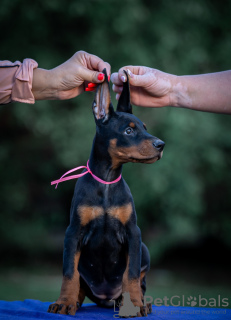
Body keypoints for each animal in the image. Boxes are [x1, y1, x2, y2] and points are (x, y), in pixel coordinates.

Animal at [48, 69, 164, 316]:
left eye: (145, 127)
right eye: (129, 130)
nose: (161, 145)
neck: (107, 181)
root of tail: (106, 299)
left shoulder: (133, 233)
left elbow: (131, 274)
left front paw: (136, 305)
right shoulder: (73, 232)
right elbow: (69, 273)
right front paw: (63, 302)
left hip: (144, 249)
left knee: (139, 281)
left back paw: (142, 303)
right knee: (80, 283)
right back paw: (74, 302)